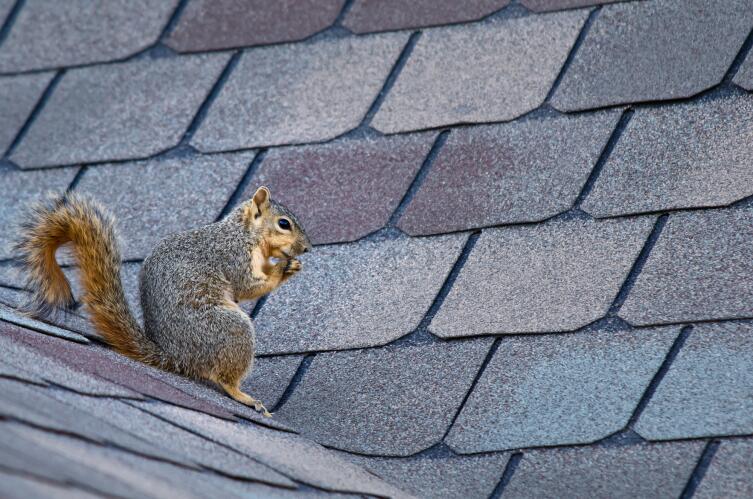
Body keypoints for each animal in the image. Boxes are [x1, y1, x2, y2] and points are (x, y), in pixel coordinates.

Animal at [15, 186, 308, 416]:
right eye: (284, 223)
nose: (307, 248)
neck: (244, 233)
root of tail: (176, 357)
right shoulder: (233, 257)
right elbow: (248, 286)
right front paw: (282, 269)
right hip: (230, 329)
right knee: (224, 377)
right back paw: (243, 396)